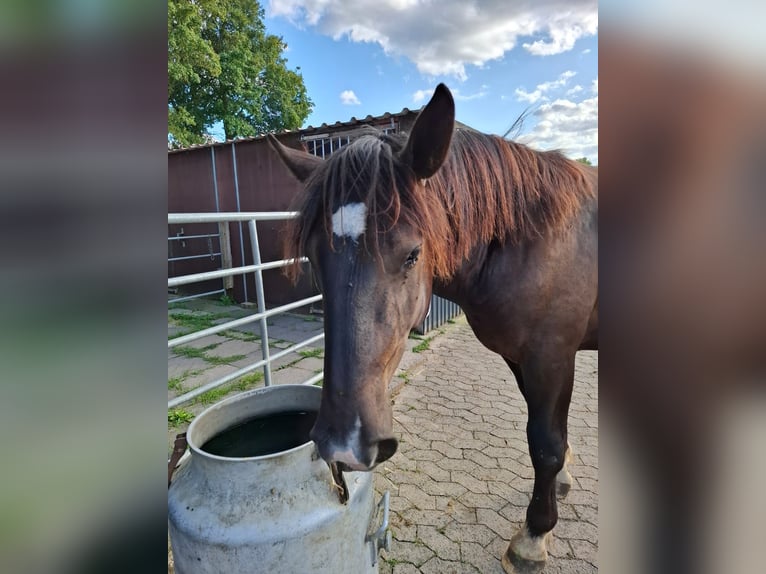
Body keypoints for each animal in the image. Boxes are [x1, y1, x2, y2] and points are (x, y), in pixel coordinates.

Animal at [270, 83, 600, 572]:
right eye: (314, 257)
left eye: (412, 254)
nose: (345, 443)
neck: (535, 239)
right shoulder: (523, 358)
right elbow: (547, 436)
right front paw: (562, 482)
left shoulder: (552, 356)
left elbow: (545, 443)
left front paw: (534, 536)